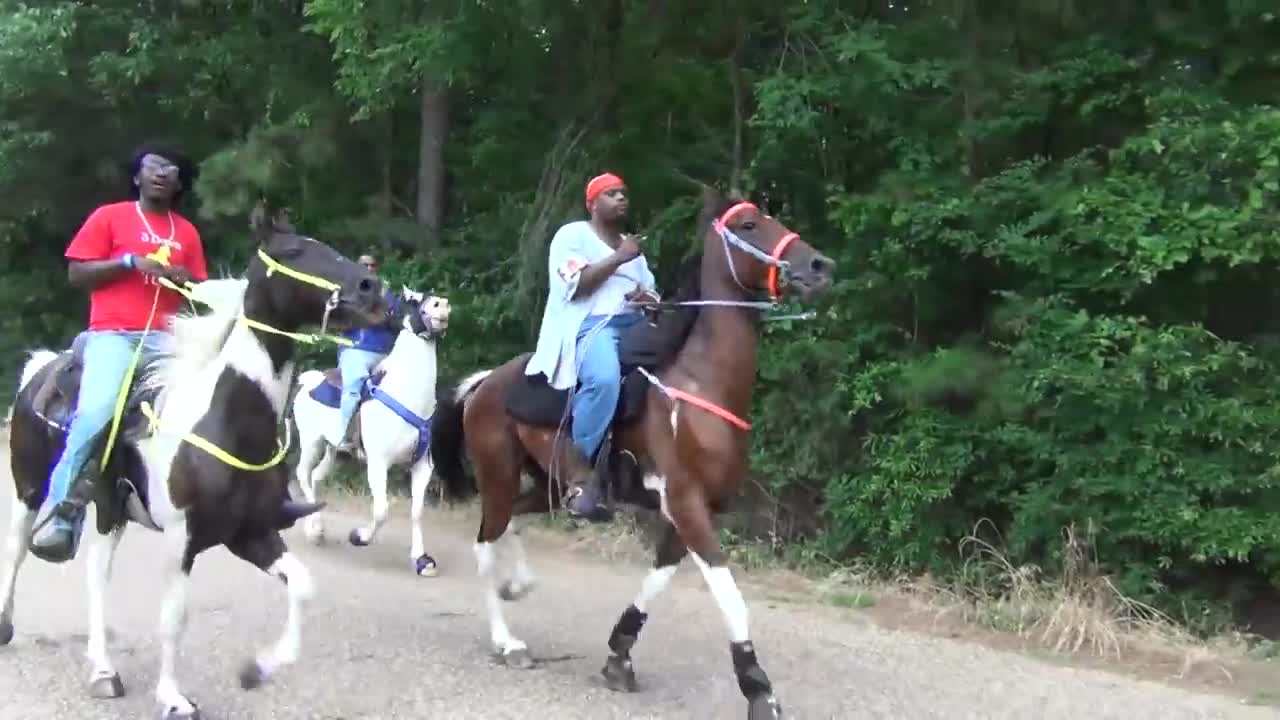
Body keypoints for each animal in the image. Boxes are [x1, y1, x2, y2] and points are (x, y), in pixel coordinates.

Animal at [2, 204, 386, 712]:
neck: (225, 419)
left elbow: (302, 587)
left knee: (97, 575)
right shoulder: (180, 539)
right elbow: (174, 618)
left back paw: (103, 669)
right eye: (294, 251)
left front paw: (257, 669)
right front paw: (173, 698)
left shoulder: (250, 533)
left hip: (108, 510)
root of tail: (39, 368)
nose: (371, 288)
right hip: (29, 489)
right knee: (19, 550)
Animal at [293, 284, 453, 571]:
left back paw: (317, 530)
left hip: (333, 451)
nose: (442, 305)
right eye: (416, 300)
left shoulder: (422, 466)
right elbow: (381, 510)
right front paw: (359, 536)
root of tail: (308, 380)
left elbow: (417, 511)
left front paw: (421, 559)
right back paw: (316, 530)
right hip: (311, 442)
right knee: (303, 474)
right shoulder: (378, 464)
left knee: (316, 477)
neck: (407, 395)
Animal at [435, 183, 839, 712]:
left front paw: (618, 655)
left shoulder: (693, 510)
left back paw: (518, 585)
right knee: (486, 543)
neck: (700, 383)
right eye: (750, 224)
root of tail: (484, 384)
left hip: (549, 486)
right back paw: (508, 641)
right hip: (497, 475)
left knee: (515, 524)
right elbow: (730, 595)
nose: (819, 266)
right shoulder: (687, 504)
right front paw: (758, 689)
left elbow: (657, 580)